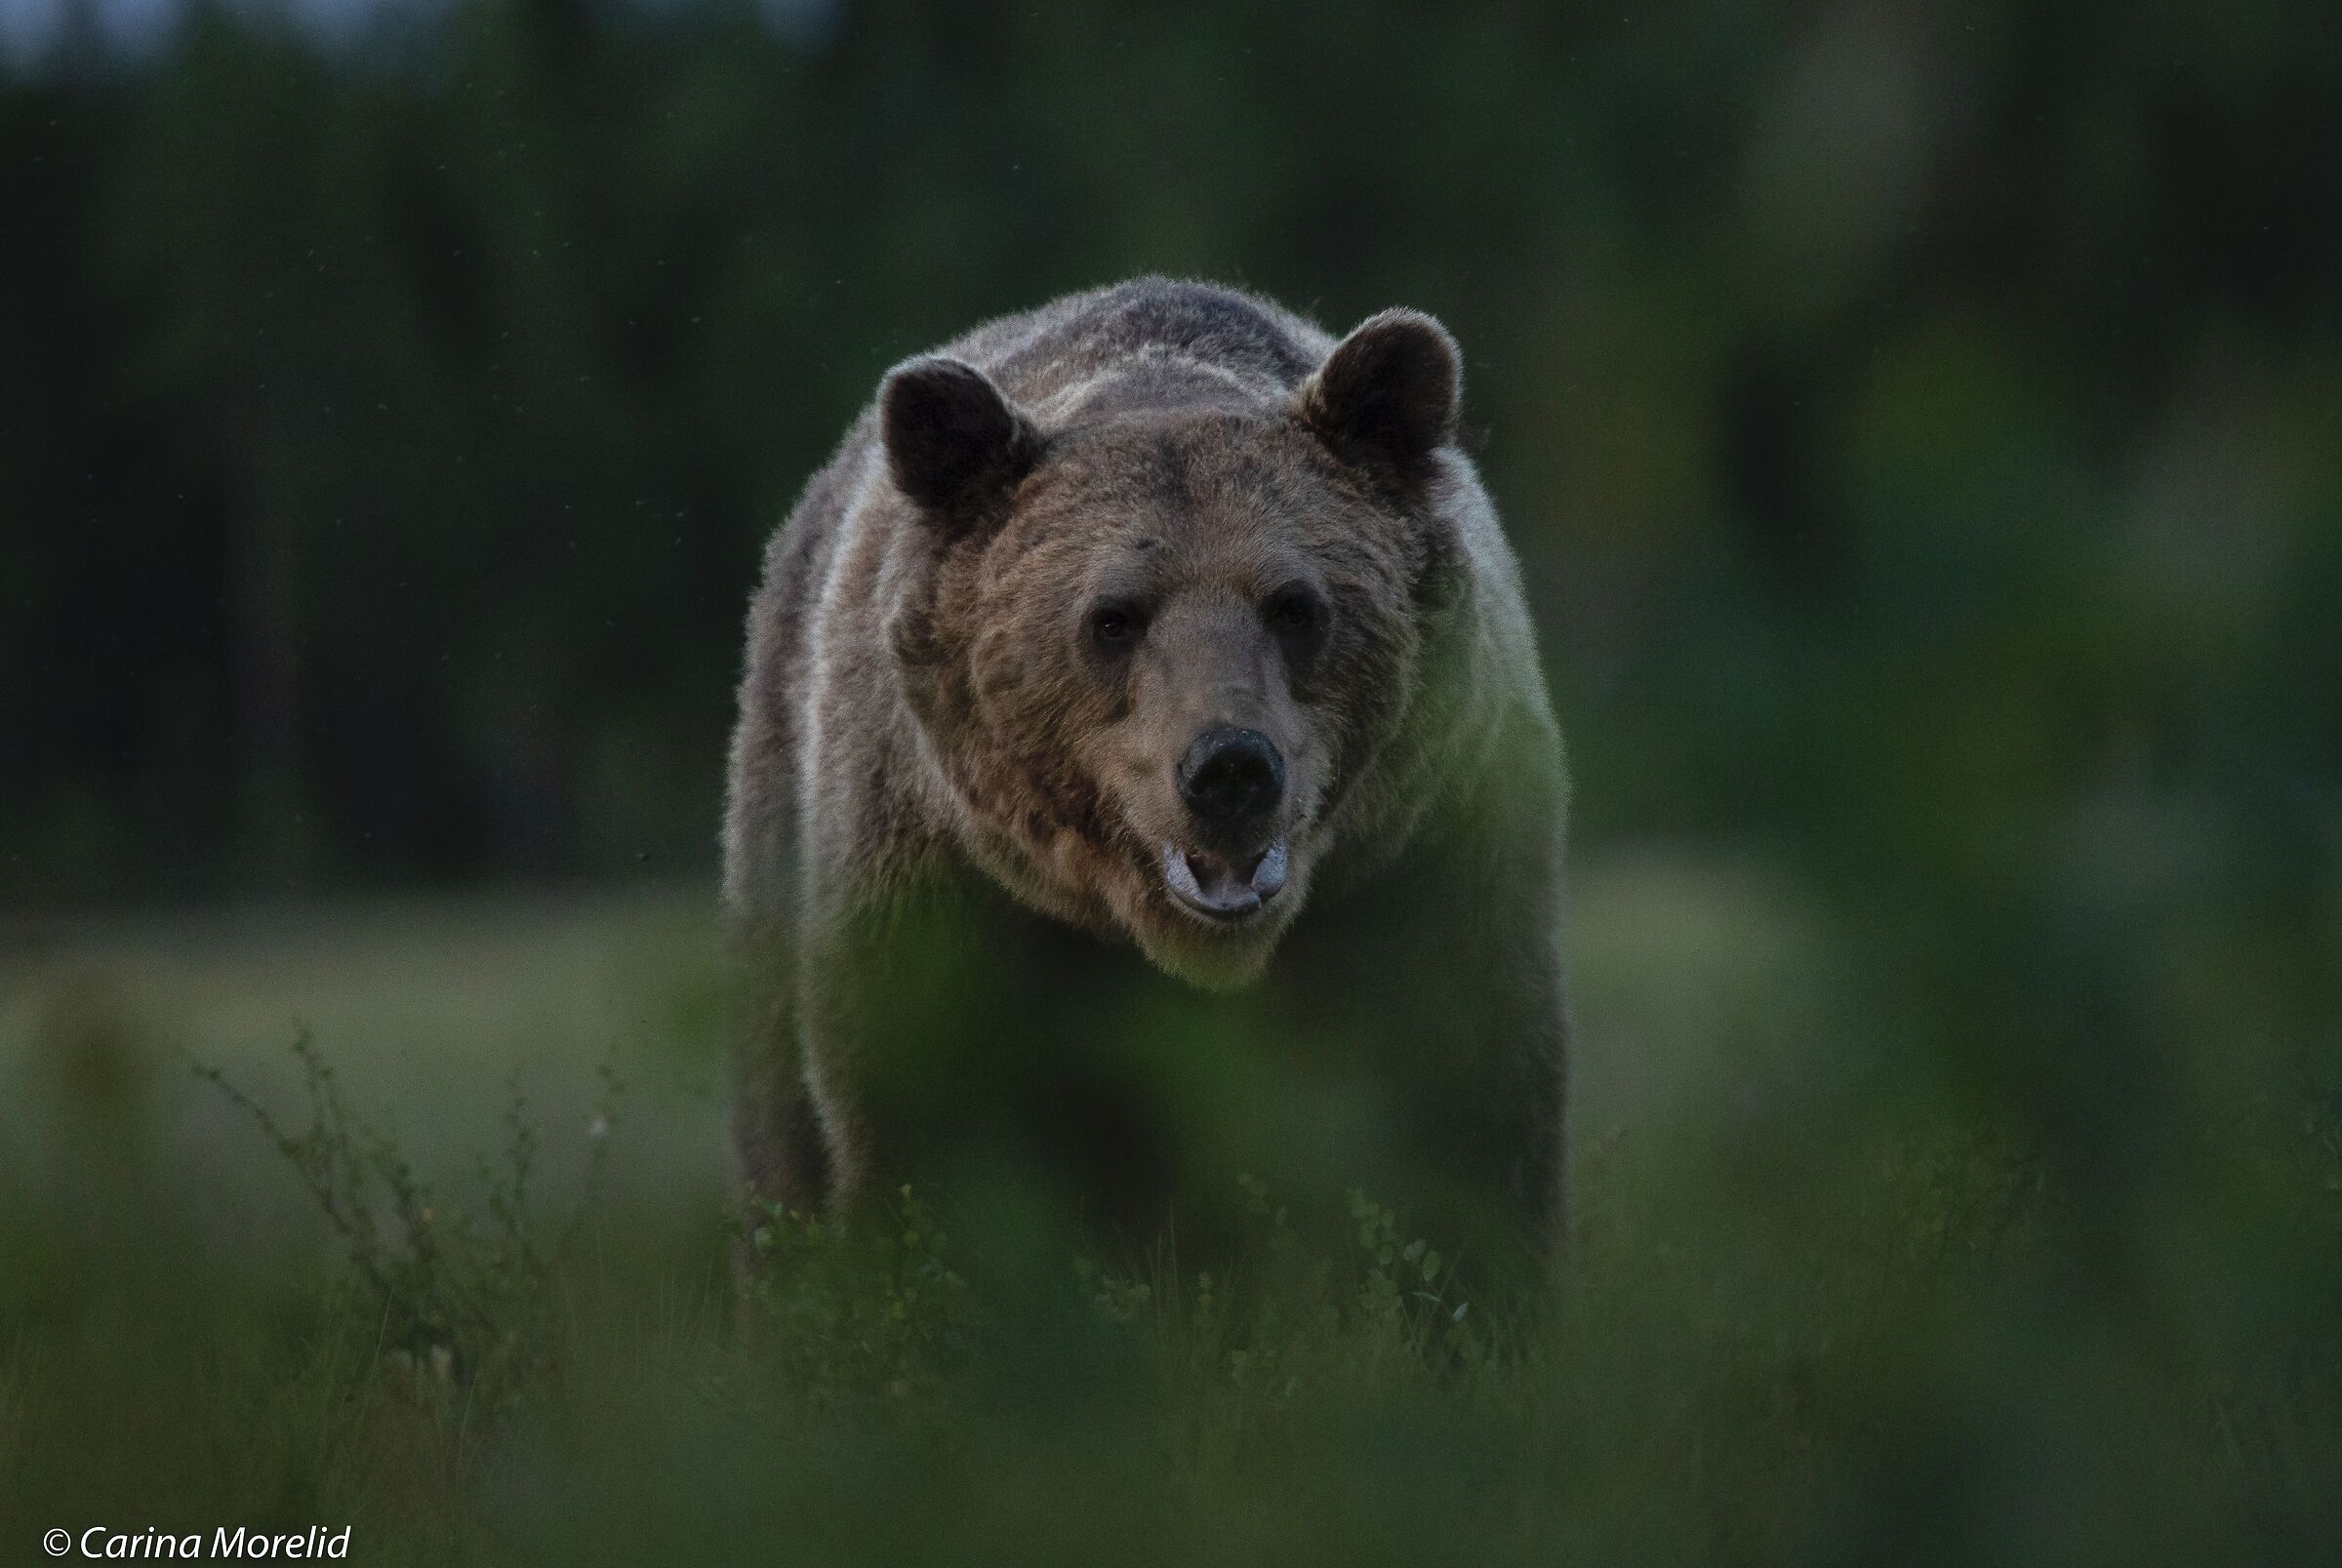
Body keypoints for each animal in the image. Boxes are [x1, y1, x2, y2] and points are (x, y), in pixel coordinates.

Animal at [724, 277, 1569, 1286]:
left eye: (1296, 606)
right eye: (1112, 618)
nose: (1230, 766)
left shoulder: (1422, 860)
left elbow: (1464, 1110)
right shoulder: (942, 886)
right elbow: (931, 1133)